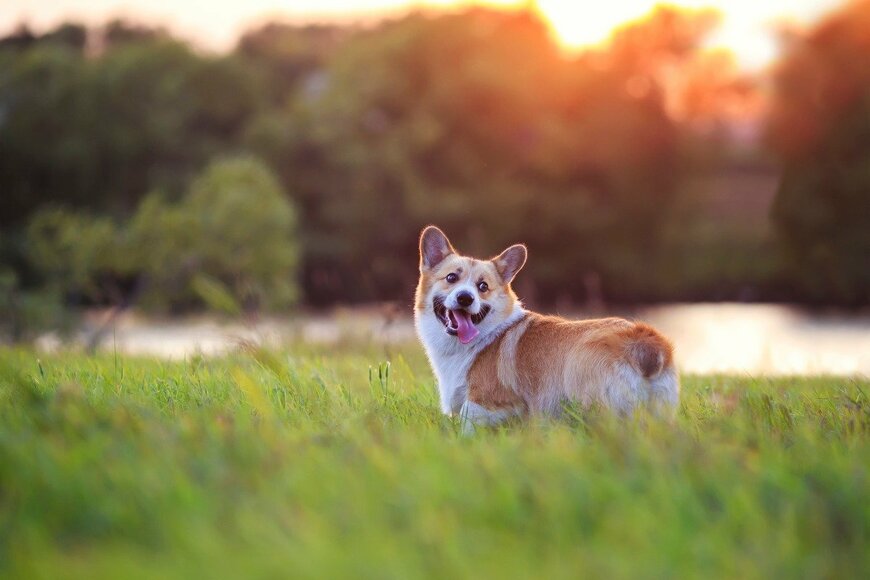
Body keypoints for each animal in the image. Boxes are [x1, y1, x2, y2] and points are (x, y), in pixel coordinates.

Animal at [416, 227, 680, 430]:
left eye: (483, 287)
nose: (465, 298)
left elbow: (466, 427)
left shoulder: (483, 405)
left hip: (581, 378)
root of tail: (645, 343)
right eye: (451, 278)